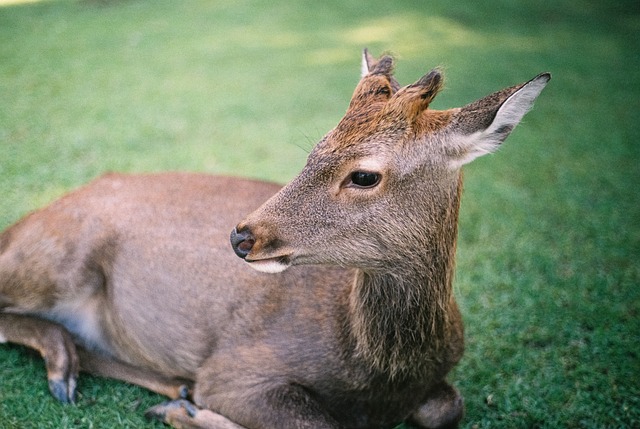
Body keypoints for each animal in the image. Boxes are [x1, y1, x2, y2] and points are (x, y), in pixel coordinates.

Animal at [0, 51, 552, 428]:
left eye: (364, 175)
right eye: (314, 149)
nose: (241, 235)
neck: (379, 375)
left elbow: (448, 407)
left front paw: (181, 406)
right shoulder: (236, 368)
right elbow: (317, 422)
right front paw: (189, 414)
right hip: (55, 258)